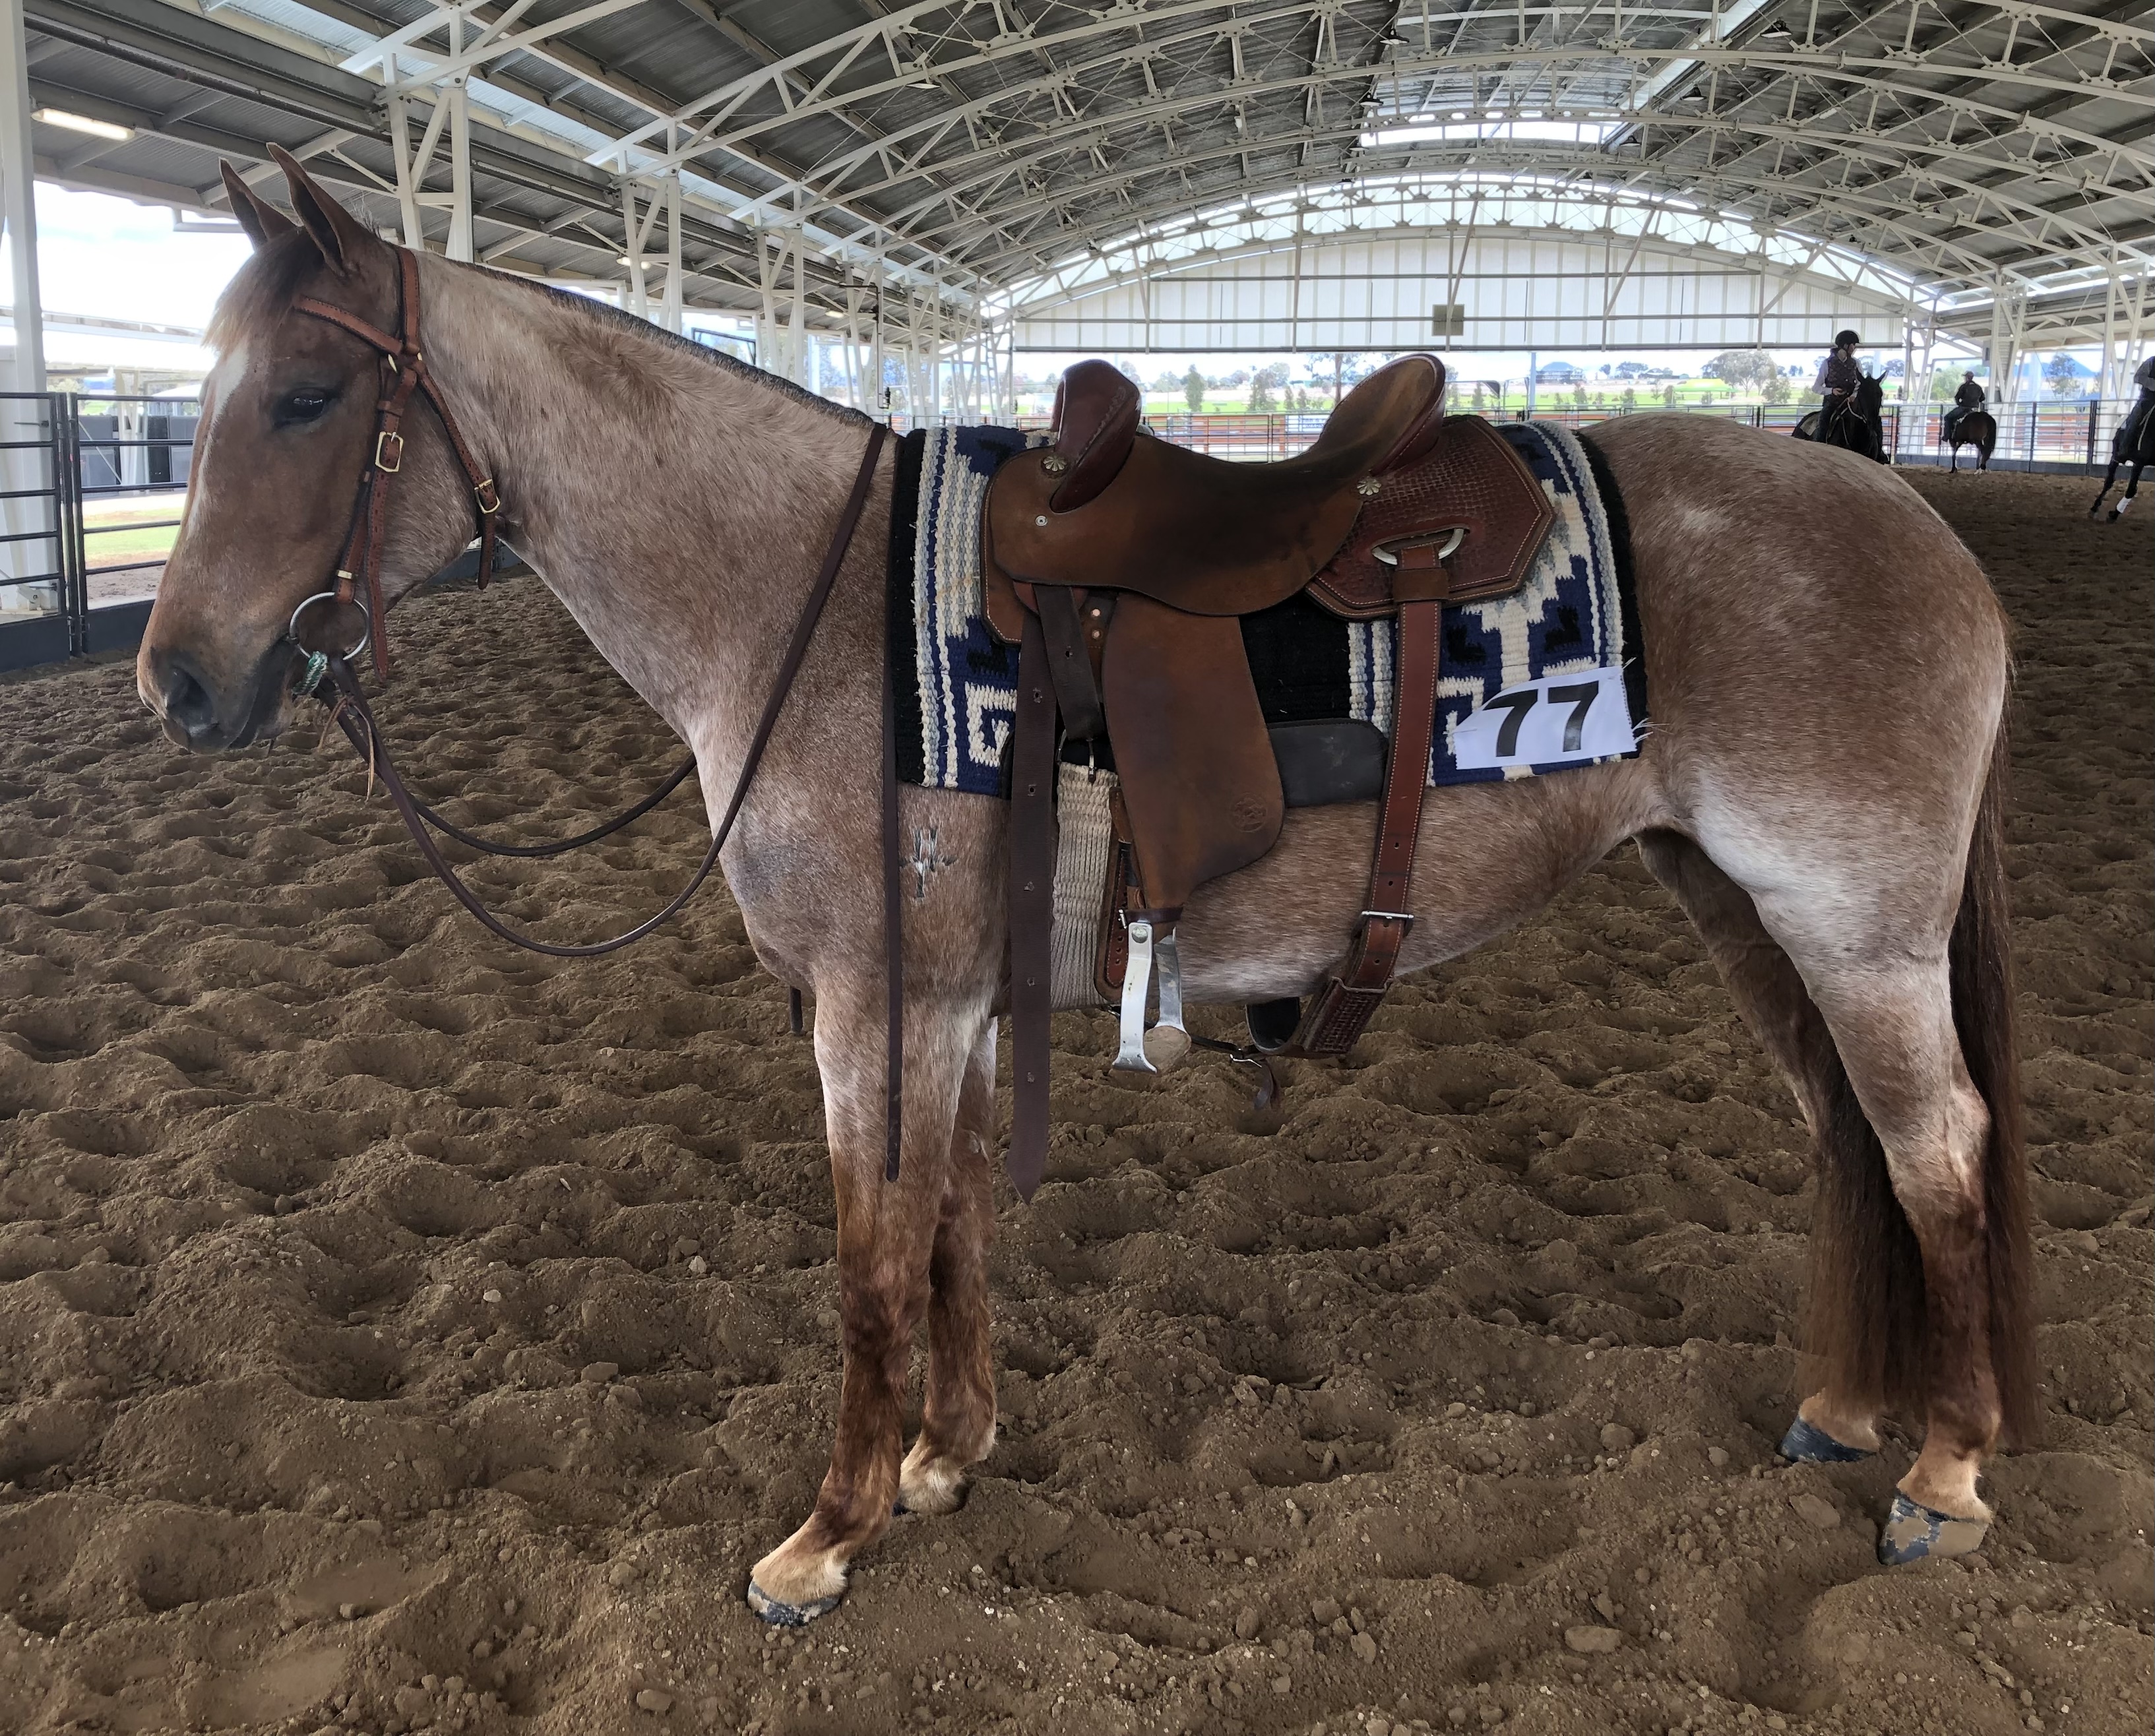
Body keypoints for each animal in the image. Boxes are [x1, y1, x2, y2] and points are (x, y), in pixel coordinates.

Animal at [136, 153, 2037, 1624]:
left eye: (305, 397)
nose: (176, 681)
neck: (800, 606)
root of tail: (1919, 534)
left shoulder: (869, 1007)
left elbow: (872, 1257)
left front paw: (824, 1535)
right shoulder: (959, 1005)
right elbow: (959, 1221)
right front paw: (945, 1454)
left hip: (1854, 931)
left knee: (1933, 1148)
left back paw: (1943, 1474)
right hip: (1742, 908)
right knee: (1844, 1138)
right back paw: (1846, 1406)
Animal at [2089, 403, 2154, 520]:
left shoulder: (2139, 464)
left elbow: (2131, 490)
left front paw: (2115, 514)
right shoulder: (2133, 461)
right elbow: (2122, 486)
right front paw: (2106, 512)